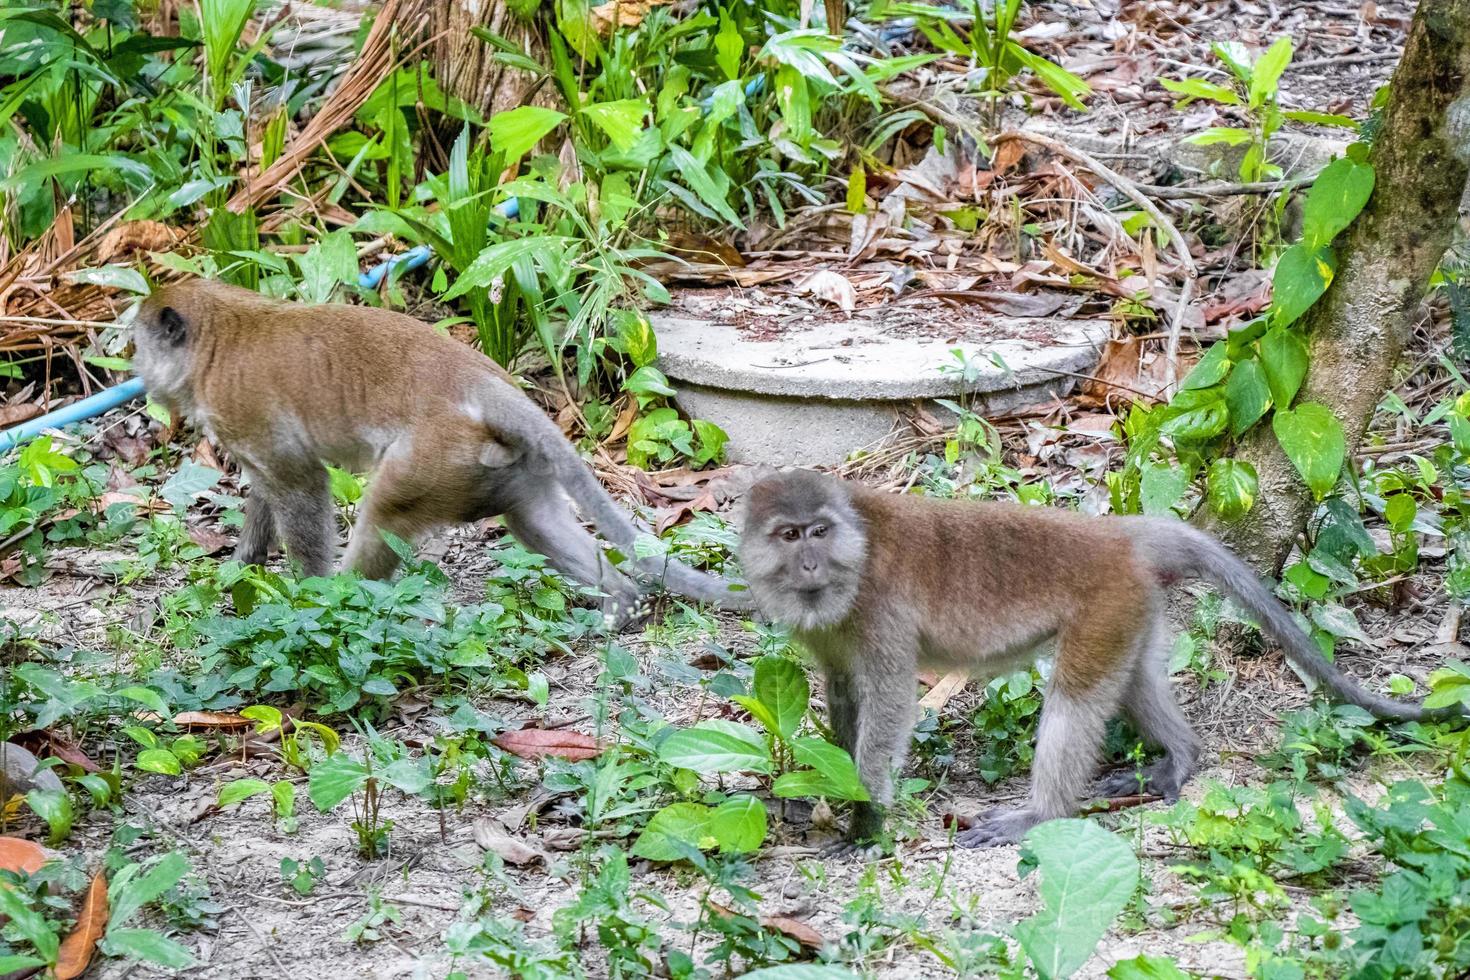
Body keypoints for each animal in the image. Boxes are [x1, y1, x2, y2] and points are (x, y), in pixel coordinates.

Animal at [127, 279, 752, 625]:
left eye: (138, 342)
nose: (135, 370)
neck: (218, 333)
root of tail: (486, 385)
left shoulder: (245, 410)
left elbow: (298, 484)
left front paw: (308, 597)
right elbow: (266, 490)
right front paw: (241, 567)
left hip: (435, 458)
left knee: (384, 512)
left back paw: (346, 603)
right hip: (502, 465)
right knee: (534, 521)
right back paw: (621, 602)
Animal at [740, 470, 1452, 852]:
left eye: (820, 532)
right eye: (790, 535)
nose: (811, 563)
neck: (854, 555)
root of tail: (1116, 534)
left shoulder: (881, 608)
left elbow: (888, 704)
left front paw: (866, 819)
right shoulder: (833, 634)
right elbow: (844, 695)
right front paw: (834, 792)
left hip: (1107, 601)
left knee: (1076, 695)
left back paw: (1043, 813)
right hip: (1131, 606)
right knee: (1129, 679)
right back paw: (1182, 757)